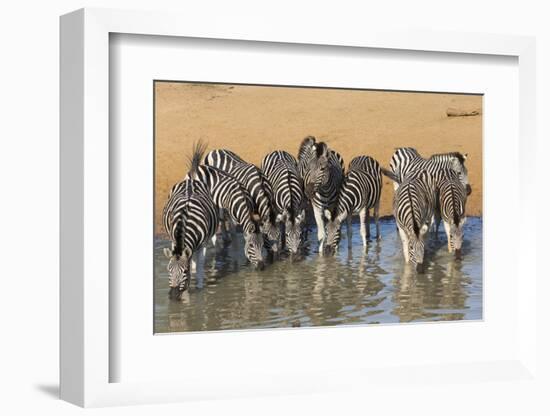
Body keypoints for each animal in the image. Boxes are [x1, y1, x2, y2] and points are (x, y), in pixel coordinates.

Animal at [162, 141, 220, 298]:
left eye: (184, 271)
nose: (173, 296)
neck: (185, 221)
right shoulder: (174, 240)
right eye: (168, 270)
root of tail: (192, 180)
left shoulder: (203, 244)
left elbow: (199, 267)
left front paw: (198, 289)